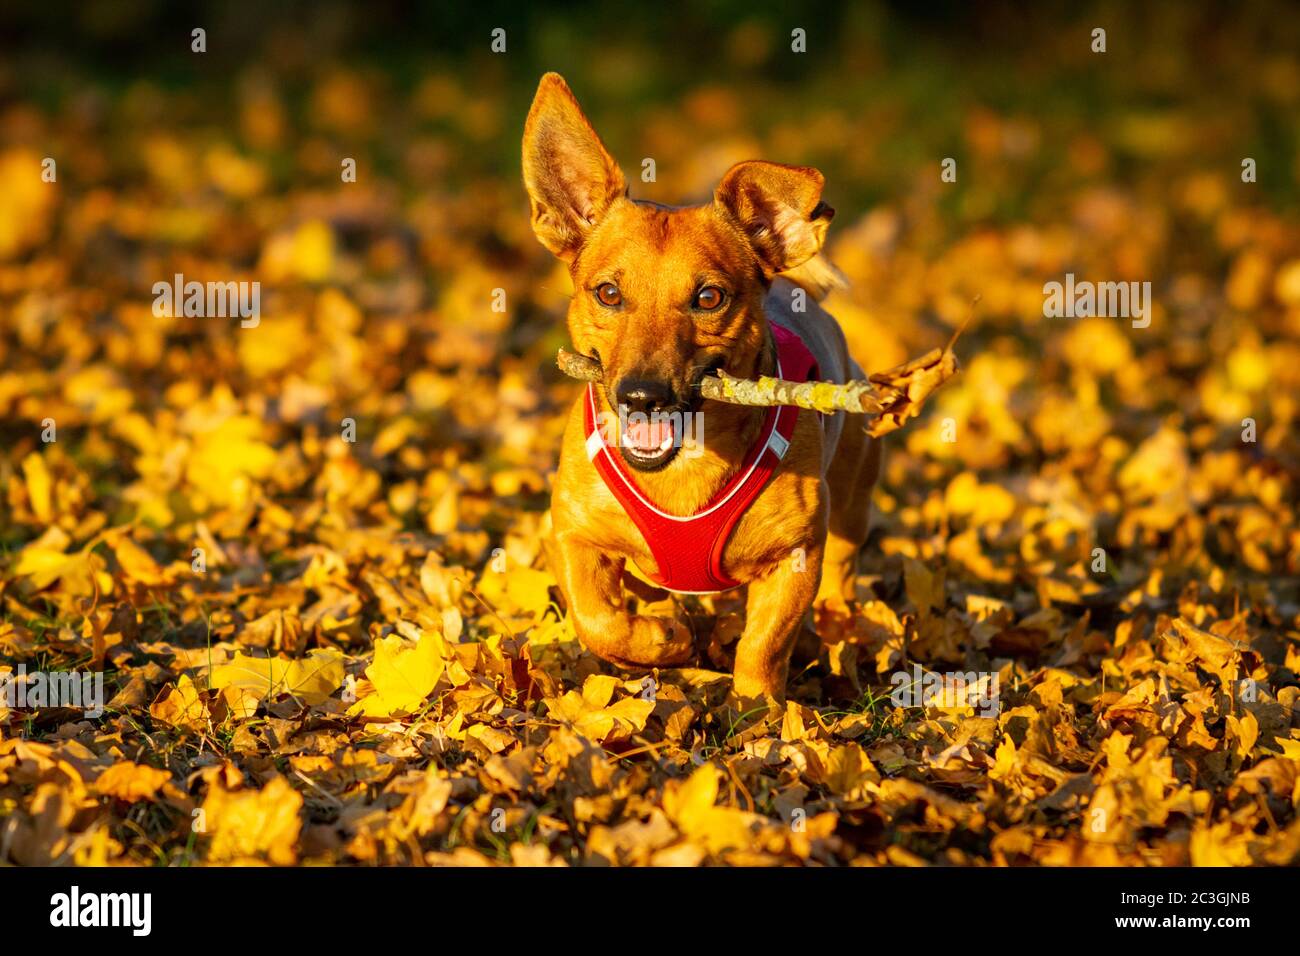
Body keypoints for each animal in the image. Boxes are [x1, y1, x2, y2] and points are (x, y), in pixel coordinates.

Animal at [520, 74, 883, 712]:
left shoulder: (794, 558)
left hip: (851, 509)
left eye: (709, 298)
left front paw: (757, 713)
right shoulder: (571, 534)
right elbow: (598, 620)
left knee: (842, 578)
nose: (641, 396)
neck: (682, 467)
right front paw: (661, 641)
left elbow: (763, 647)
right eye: (608, 293)